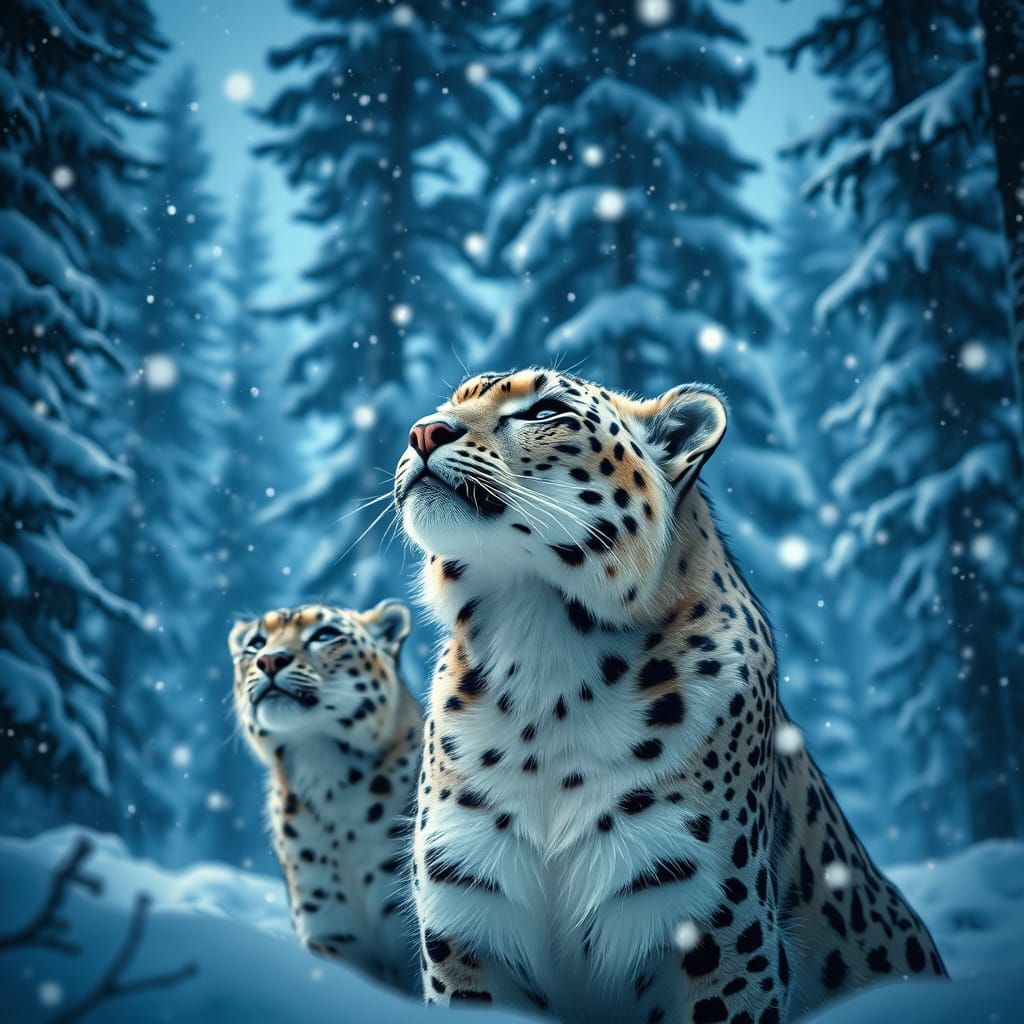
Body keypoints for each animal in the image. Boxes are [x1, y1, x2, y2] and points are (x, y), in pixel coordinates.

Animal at [392, 368, 946, 1023]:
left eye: (544, 410)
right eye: (450, 403)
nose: (423, 431)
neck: (539, 650)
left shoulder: (718, 942)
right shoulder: (467, 930)